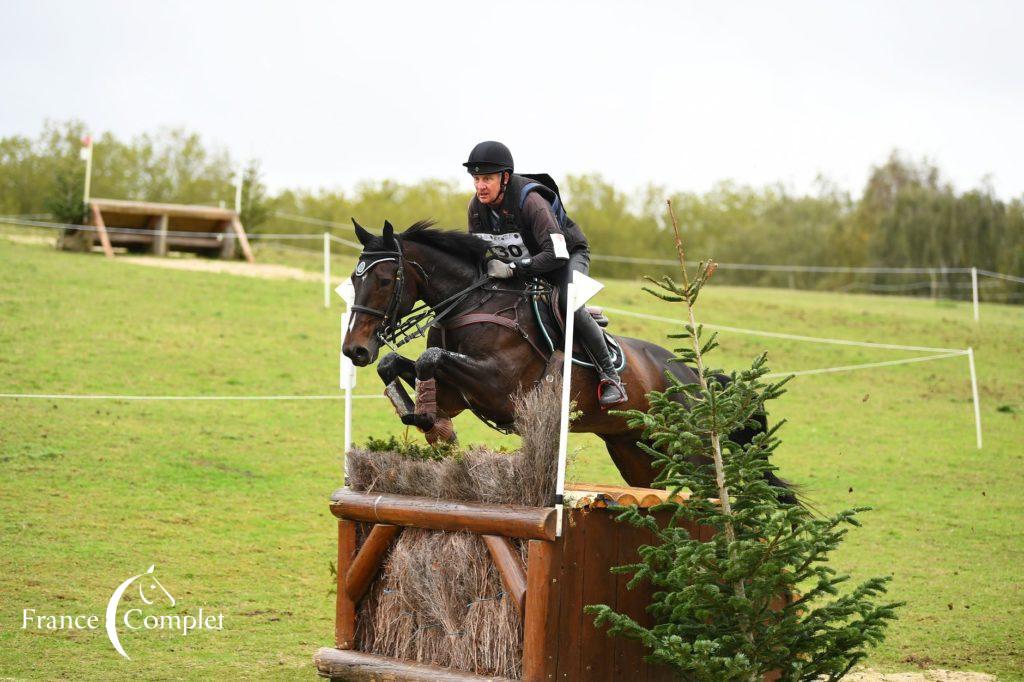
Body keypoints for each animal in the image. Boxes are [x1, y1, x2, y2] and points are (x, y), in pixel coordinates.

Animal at [344, 220, 790, 491]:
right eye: (353, 277)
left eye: (384, 279)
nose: (355, 349)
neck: (471, 302)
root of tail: (695, 376)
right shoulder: (460, 393)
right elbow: (400, 364)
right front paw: (418, 413)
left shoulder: (499, 388)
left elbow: (430, 358)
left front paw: (430, 422)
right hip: (634, 450)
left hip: (692, 450)